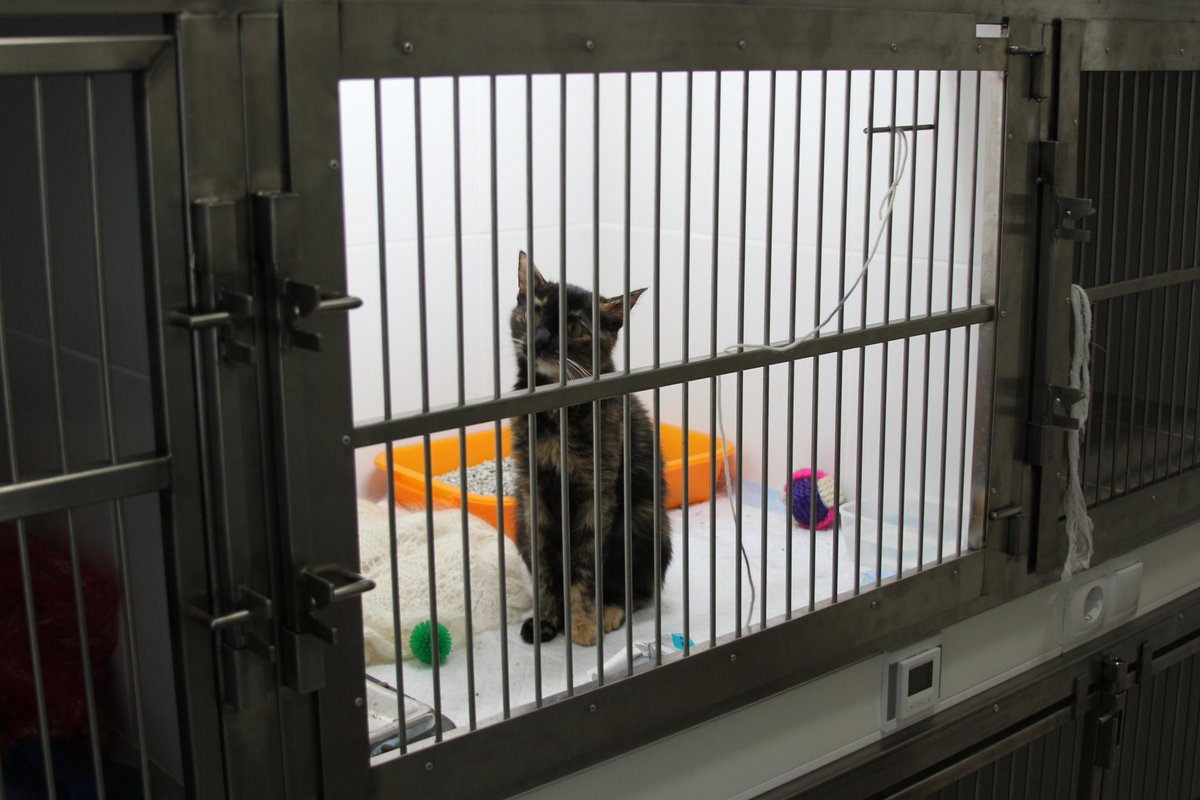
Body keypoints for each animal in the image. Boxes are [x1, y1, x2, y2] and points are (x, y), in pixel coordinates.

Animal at [509, 251, 672, 646]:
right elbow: (546, 566)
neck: (555, 412)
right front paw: (547, 619)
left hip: (642, 519)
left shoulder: (595, 492)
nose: (540, 339)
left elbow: (585, 562)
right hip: (518, 522)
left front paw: (582, 621)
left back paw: (610, 611)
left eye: (573, 328)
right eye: (535, 313)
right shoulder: (532, 494)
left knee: (641, 591)